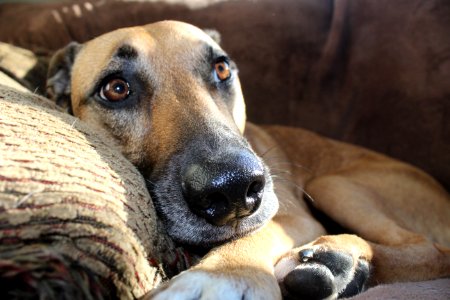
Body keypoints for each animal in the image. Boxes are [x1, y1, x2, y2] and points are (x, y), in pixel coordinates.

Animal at [46, 20, 450, 298]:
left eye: (222, 68)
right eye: (116, 89)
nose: (234, 190)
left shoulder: (295, 217)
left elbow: (261, 231)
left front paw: (221, 274)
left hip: (333, 184)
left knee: (431, 250)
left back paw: (337, 259)